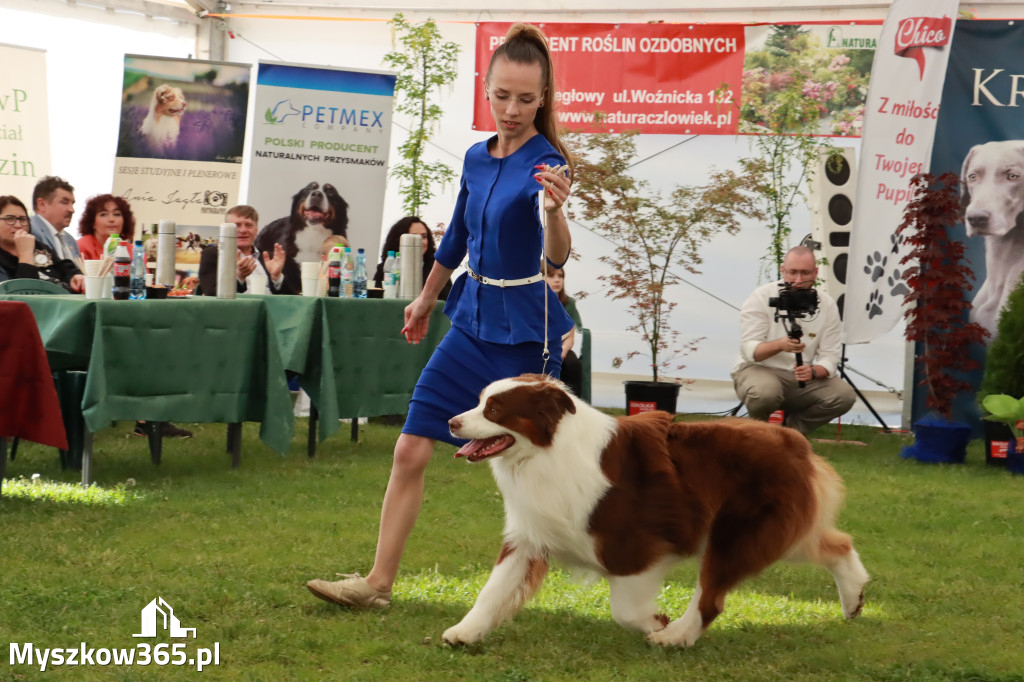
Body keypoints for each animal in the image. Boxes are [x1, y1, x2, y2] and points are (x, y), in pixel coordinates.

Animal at [444, 374, 868, 647]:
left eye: (494, 409)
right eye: (480, 401)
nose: (451, 421)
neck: (544, 452)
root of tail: (794, 440)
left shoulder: (633, 545)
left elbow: (624, 609)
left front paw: (656, 622)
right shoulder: (531, 534)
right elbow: (494, 589)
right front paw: (465, 632)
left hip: (736, 532)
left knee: (711, 598)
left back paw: (676, 636)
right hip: (780, 529)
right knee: (837, 543)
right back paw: (855, 598)